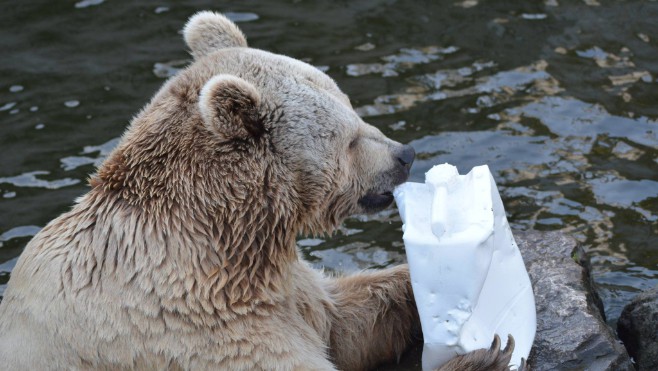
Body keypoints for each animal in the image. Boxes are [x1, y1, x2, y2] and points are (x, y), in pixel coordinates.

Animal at [0, 11, 512, 371]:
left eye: (355, 111)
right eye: (348, 139)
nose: (404, 155)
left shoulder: (282, 287)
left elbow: (343, 318)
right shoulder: (193, 329)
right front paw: (486, 356)